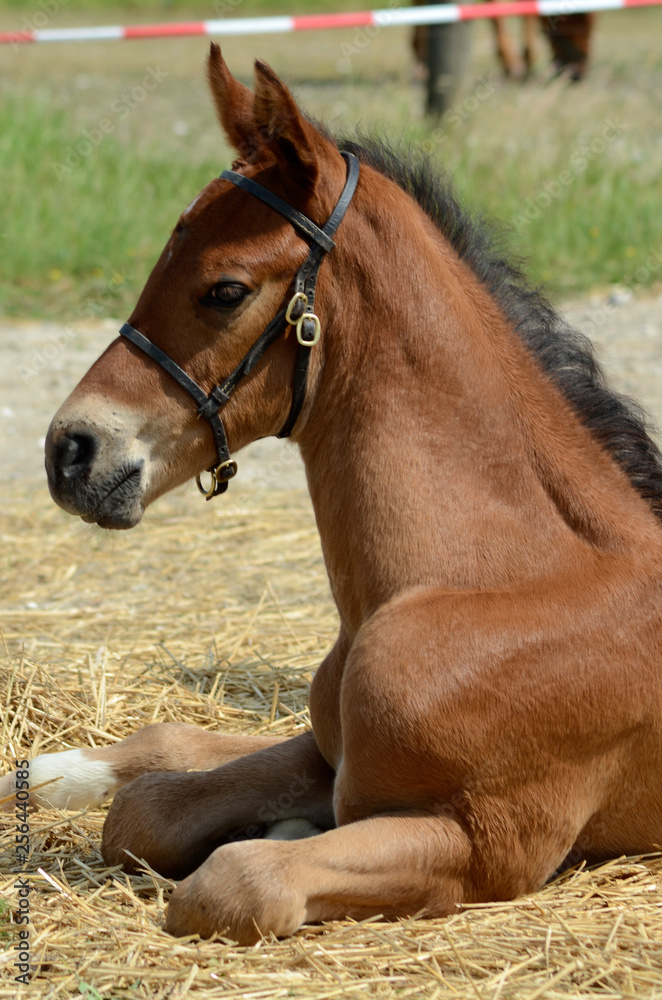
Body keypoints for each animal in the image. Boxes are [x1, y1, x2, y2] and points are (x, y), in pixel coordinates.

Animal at [3, 45, 662, 946]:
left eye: (225, 289)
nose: (70, 450)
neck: (484, 583)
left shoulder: (490, 844)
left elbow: (236, 881)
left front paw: (271, 839)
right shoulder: (330, 755)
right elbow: (147, 811)